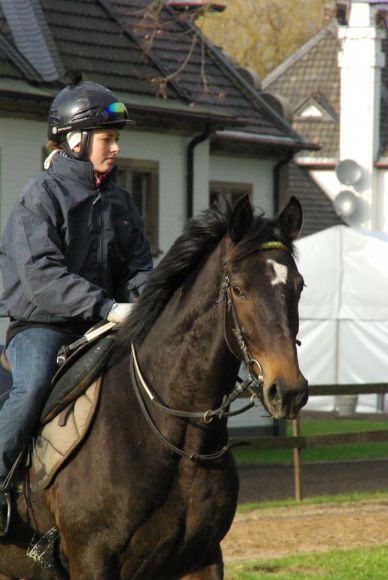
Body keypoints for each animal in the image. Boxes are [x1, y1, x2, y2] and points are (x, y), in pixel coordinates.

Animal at [0, 193, 310, 576]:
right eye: (238, 289)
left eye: (299, 286)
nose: (289, 390)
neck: (176, 440)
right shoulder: (91, 561)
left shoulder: (203, 557)